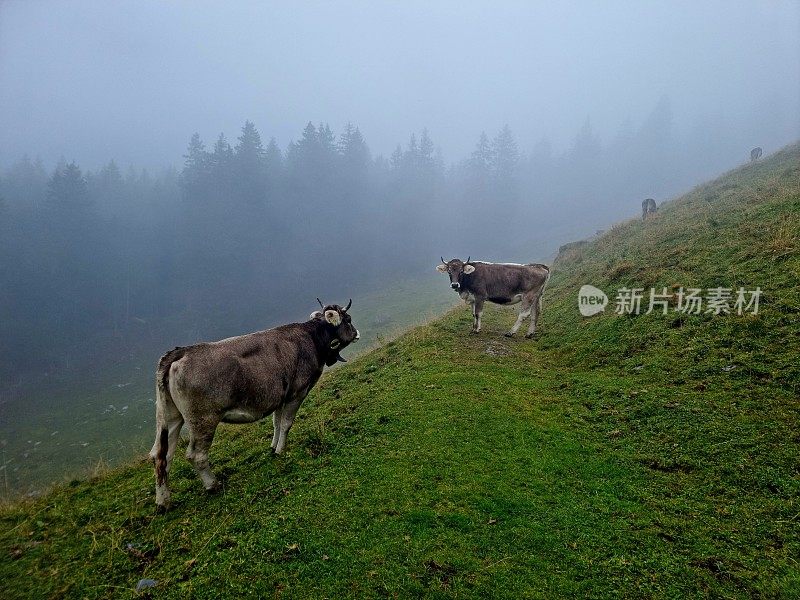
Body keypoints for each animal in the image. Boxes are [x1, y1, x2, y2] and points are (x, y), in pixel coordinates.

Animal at [149, 300, 360, 510]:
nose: (357, 333)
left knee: (162, 456)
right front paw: (281, 450)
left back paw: (163, 501)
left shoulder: (281, 397)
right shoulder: (297, 393)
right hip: (203, 419)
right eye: (348, 319)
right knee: (195, 455)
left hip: (170, 416)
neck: (312, 338)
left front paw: (273, 447)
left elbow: (276, 423)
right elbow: (286, 424)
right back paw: (212, 485)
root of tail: (181, 352)